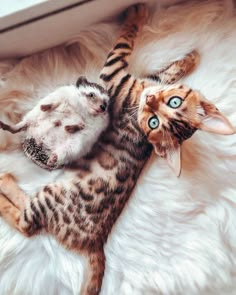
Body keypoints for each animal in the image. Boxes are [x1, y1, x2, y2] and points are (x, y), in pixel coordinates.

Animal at [0, 2, 233, 295]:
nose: (150, 102)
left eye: (153, 122)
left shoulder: (113, 74)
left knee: (26, 222)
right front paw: (190, 59)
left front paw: (137, 14)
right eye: (174, 103)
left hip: (49, 196)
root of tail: (97, 243)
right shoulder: (147, 80)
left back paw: (4, 184)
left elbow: (124, 41)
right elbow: (169, 72)